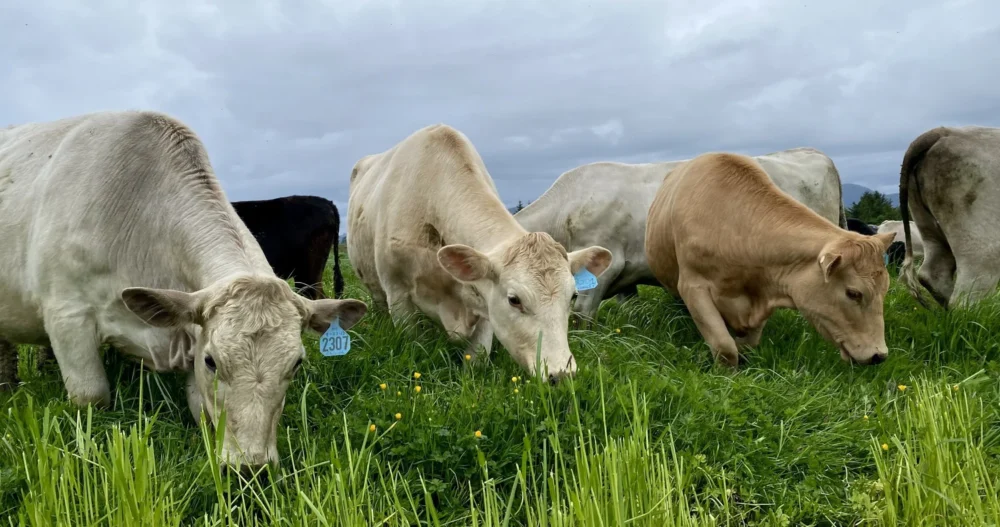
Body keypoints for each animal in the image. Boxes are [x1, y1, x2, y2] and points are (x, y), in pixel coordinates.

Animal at [346, 124, 612, 380]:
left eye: (573, 296)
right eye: (514, 299)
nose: (562, 374)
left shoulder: (484, 305)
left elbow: (476, 361)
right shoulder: (397, 293)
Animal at [644, 152, 895, 367]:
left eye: (885, 290)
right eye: (853, 293)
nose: (879, 355)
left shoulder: (766, 289)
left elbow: (747, 344)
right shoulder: (693, 286)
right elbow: (725, 347)